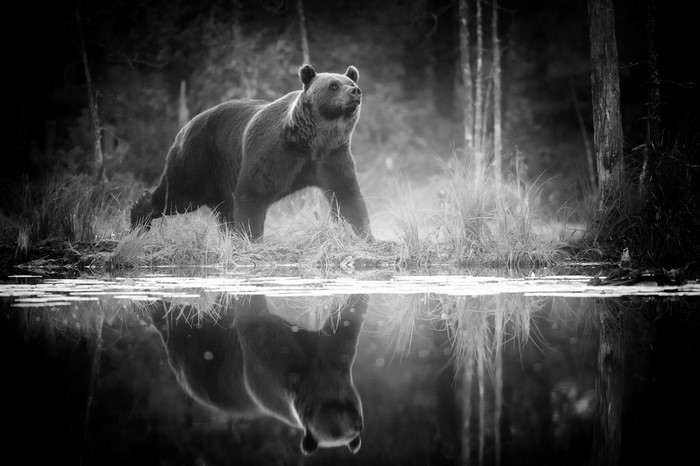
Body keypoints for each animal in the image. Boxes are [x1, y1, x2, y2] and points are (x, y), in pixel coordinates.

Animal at [131, 64, 373, 241]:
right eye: (333, 85)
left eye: (351, 82)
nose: (355, 91)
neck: (309, 140)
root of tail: (187, 124)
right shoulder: (273, 152)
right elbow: (253, 193)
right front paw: (252, 238)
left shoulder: (331, 155)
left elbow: (347, 195)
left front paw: (365, 235)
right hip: (198, 158)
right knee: (177, 194)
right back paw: (138, 222)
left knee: (222, 209)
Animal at [149, 293, 369, 455]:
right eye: (333, 430)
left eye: (356, 424)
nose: (351, 422)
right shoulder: (271, 371)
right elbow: (255, 322)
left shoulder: (333, 356)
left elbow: (348, 320)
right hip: (196, 351)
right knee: (175, 320)